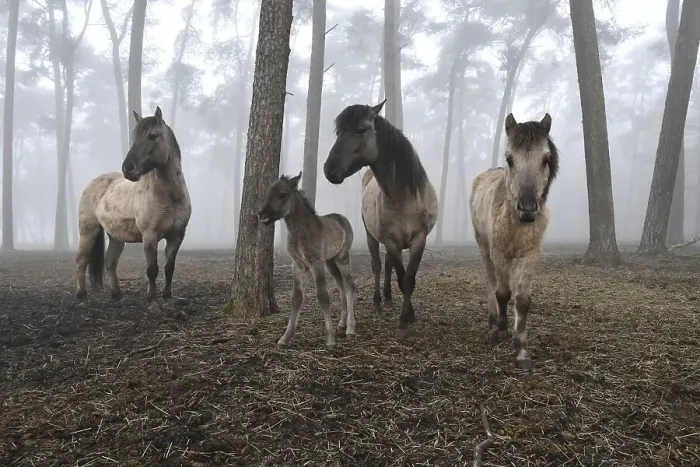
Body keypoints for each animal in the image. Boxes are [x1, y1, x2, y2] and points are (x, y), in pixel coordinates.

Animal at [75, 106, 192, 314]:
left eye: (152, 135)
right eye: (135, 137)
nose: (127, 168)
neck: (170, 196)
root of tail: (93, 183)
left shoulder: (176, 236)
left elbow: (169, 268)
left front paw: (168, 301)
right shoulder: (150, 236)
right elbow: (152, 269)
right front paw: (153, 303)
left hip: (116, 236)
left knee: (110, 262)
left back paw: (117, 297)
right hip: (88, 230)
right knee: (82, 260)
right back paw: (82, 298)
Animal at [258, 171, 356, 350]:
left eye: (283, 194)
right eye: (268, 192)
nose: (262, 214)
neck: (300, 232)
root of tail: (342, 218)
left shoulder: (316, 262)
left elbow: (323, 297)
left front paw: (330, 340)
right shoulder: (298, 265)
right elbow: (296, 298)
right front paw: (285, 338)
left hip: (343, 257)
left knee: (350, 285)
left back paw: (350, 328)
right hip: (330, 261)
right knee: (340, 284)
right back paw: (342, 323)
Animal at [323, 99, 438, 334]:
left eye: (360, 129)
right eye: (338, 132)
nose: (329, 170)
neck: (403, 197)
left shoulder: (419, 239)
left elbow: (409, 278)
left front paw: (408, 316)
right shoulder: (391, 241)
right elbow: (402, 278)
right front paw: (405, 318)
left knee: (387, 265)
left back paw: (388, 299)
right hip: (372, 237)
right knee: (377, 264)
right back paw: (378, 301)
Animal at [469, 112, 559, 370]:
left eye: (545, 159)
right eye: (510, 159)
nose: (527, 209)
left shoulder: (530, 255)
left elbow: (522, 300)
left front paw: (521, 349)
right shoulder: (499, 252)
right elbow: (502, 293)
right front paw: (500, 330)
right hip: (484, 247)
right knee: (490, 281)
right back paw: (493, 321)